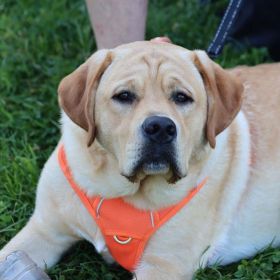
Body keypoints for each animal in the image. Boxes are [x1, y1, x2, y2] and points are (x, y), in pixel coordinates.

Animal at [0, 42, 280, 280]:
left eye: (182, 97)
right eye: (124, 95)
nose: (160, 127)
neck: (121, 192)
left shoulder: (163, 265)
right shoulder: (43, 230)